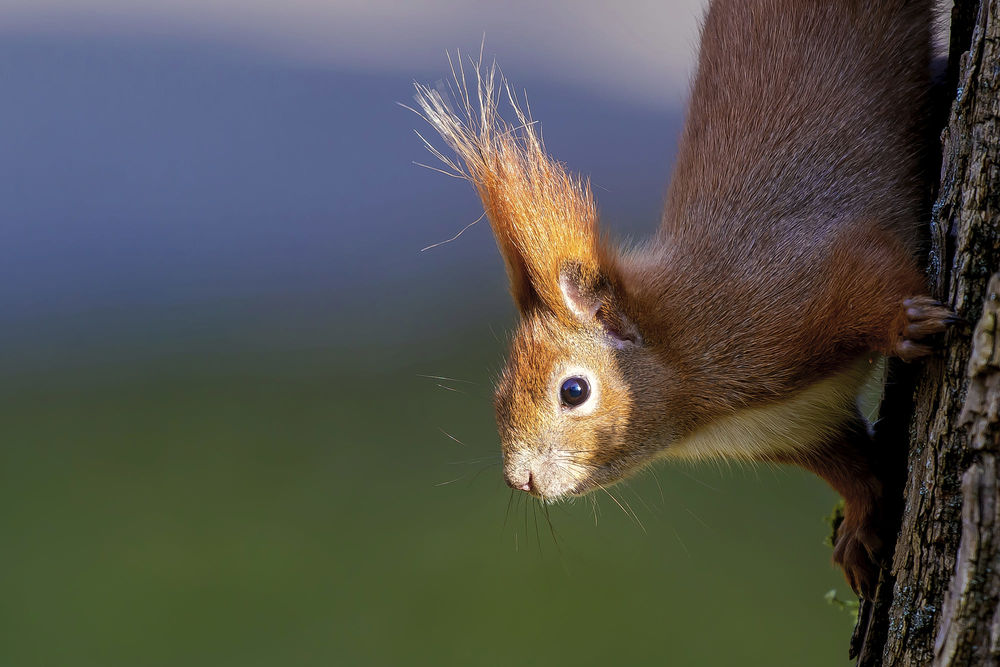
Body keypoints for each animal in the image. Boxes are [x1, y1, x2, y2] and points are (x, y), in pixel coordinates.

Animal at [412, 0, 955, 598]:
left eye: (573, 391)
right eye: (499, 393)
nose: (521, 479)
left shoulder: (797, 281)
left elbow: (871, 275)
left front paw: (907, 325)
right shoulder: (804, 428)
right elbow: (855, 468)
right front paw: (859, 529)